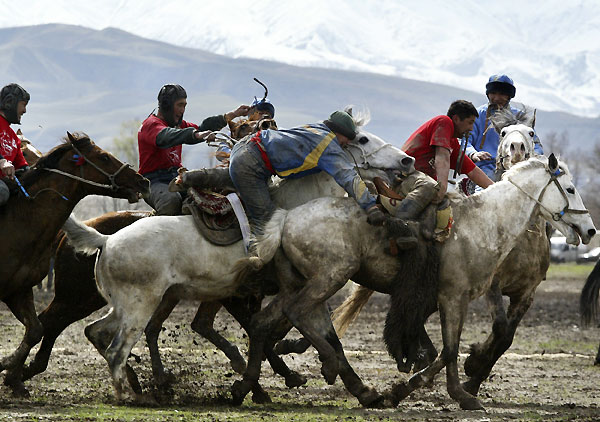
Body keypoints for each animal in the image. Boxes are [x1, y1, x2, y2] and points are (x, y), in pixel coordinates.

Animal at [0, 133, 149, 396]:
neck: (18, 223)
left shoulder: (18, 290)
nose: (142, 181)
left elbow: (35, 329)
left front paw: (8, 367)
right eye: (103, 157)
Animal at [62, 124, 418, 402]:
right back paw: (135, 393)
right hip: (140, 305)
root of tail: (106, 240)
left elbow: (303, 330)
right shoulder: (278, 289)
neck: (290, 208)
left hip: (134, 304)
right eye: (362, 139)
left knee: (99, 332)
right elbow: (280, 327)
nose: (407, 159)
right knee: (118, 345)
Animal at [229, 153, 596, 410]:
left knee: (266, 322)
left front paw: (404, 391)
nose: (590, 230)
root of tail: (286, 217)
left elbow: (444, 352)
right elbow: (449, 351)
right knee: (298, 315)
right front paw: (460, 395)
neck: (483, 223)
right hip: (330, 276)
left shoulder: (453, 300)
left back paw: (252, 387)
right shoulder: (453, 297)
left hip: (301, 282)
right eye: (571, 189)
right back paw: (330, 369)